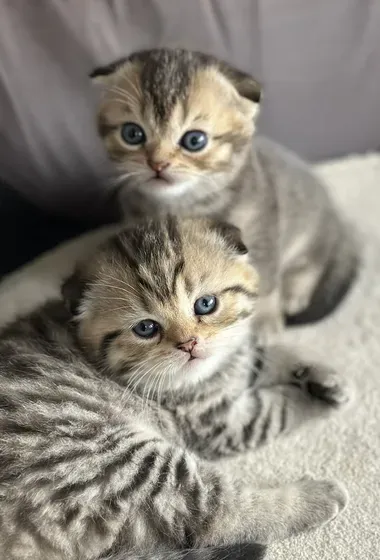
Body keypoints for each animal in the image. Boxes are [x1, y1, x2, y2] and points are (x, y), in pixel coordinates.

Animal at [0, 217, 350, 560]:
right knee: (215, 513)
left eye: (206, 304)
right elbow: (274, 410)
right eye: (146, 328)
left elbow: (255, 356)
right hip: (114, 460)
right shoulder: (217, 421)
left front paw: (320, 374)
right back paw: (317, 497)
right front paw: (310, 396)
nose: (188, 344)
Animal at [90, 49, 358, 346]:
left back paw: (295, 292)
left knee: (310, 264)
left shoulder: (261, 234)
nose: (157, 164)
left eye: (194, 140)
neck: (182, 204)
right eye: (132, 134)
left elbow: (265, 283)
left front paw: (264, 321)